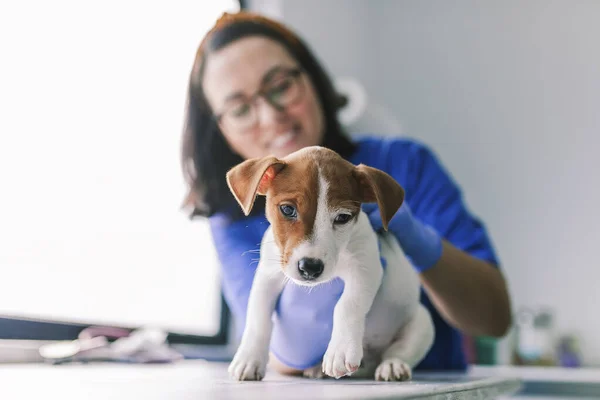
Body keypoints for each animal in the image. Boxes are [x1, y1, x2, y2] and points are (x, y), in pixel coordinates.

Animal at [223, 146, 434, 382]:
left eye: (343, 217)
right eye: (287, 210)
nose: (310, 267)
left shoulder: (365, 269)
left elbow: (347, 305)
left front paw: (340, 351)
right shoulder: (267, 277)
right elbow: (258, 317)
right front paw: (249, 358)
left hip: (422, 323)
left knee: (397, 352)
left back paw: (392, 366)